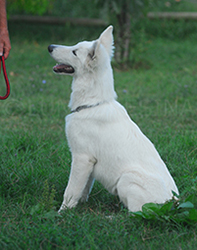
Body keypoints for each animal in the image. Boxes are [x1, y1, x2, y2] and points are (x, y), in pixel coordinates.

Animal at [48, 25, 179, 213]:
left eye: (74, 52)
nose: (49, 46)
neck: (92, 103)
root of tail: (173, 204)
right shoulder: (89, 164)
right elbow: (84, 189)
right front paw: (80, 207)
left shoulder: (82, 158)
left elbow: (71, 191)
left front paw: (62, 213)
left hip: (126, 179)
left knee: (135, 214)